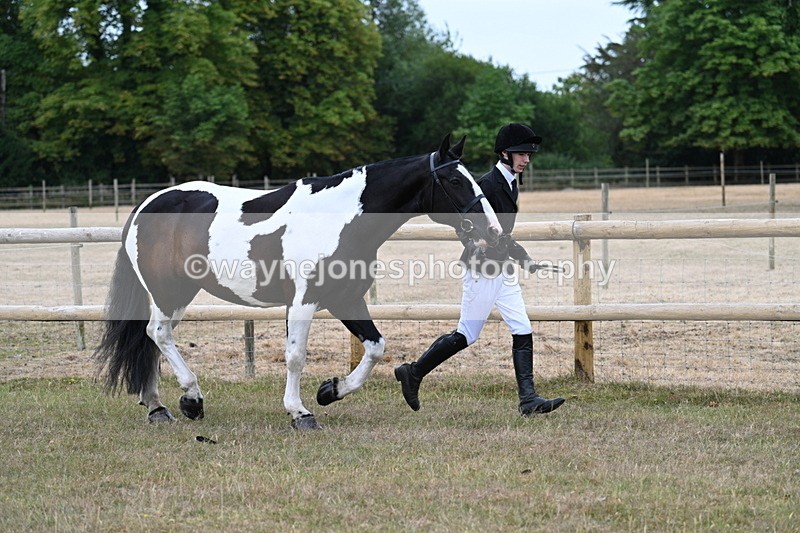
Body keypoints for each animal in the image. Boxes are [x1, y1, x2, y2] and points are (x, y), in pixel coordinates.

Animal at [94, 134, 502, 429]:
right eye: (454, 179)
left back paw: (158, 407)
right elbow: (295, 356)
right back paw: (191, 399)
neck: (338, 219)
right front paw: (300, 413)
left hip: (178, 294)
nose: (493, 231)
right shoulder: (303, 302)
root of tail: (146, 205)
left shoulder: (346, 300)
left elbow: (376, 347)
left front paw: (330, 391)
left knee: (152, 339)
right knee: (158, 334)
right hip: (168, 291)